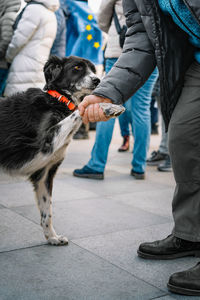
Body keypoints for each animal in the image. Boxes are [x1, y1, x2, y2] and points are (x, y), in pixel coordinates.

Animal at [0, 55, 124, 245]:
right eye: (77, 68)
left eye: (93, 69)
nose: (97, 80)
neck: (59, 100)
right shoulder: (45, 145)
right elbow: (80, 110)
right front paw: (108, 107)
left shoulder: (43, 174)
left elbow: (47, 212)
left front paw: (52, 237)